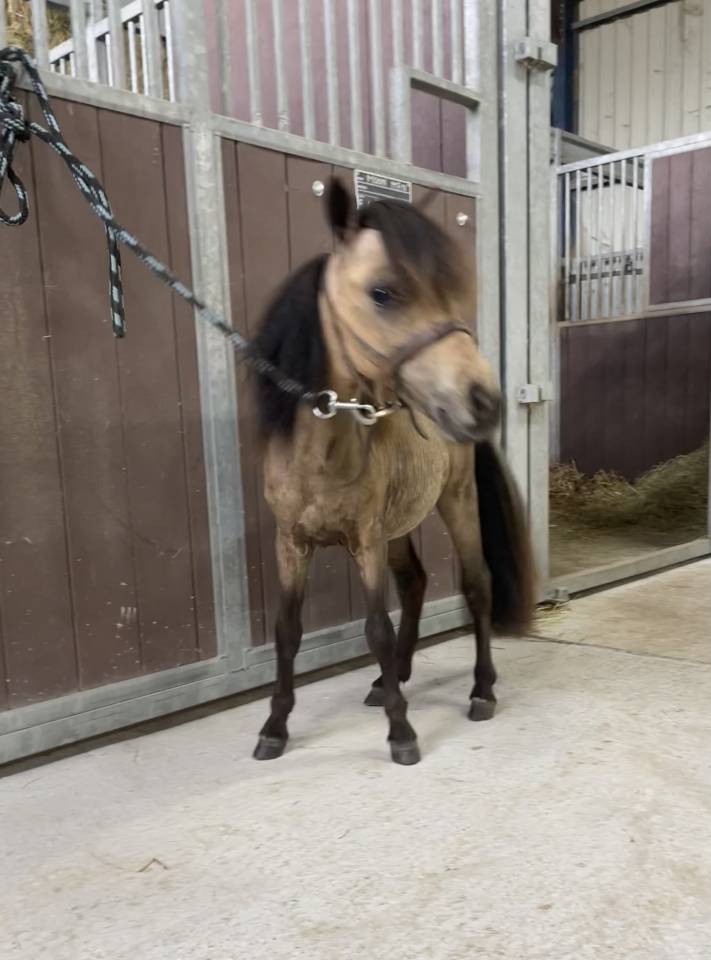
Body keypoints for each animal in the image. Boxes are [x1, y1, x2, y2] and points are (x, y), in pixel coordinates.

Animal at [250, 179, 534, 765]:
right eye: (382, 293)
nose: (483, 402)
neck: (323, 453)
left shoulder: (365, 542)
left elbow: (376, 628)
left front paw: (401, 733)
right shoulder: (293, 542)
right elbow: (287, 630)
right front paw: (275, 727)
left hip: (455, 502)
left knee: (477, 585)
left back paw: (482, 689)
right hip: (399, 527)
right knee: (417, 584)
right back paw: (390, 681)